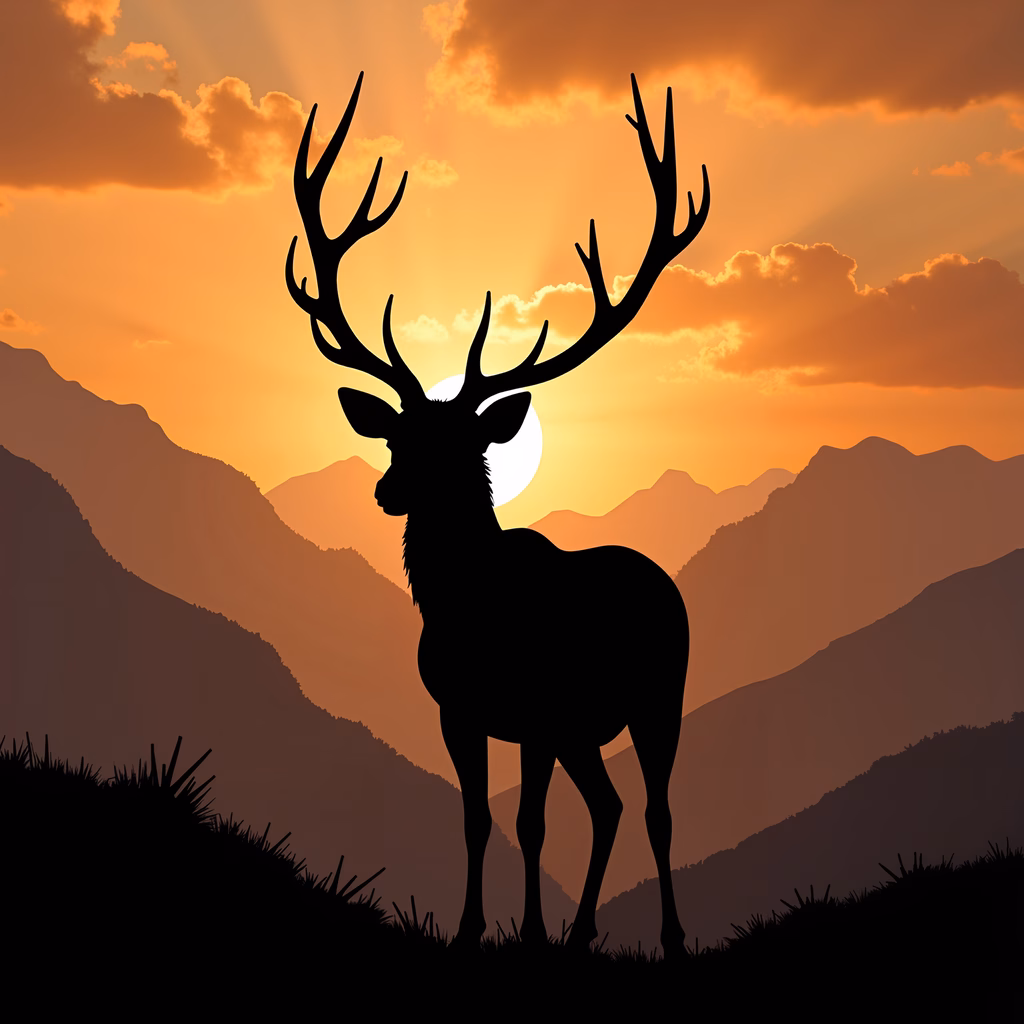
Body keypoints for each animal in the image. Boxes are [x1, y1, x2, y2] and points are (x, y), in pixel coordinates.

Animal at [286, 71, 709, 957]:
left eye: (460, 446)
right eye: (396, 438)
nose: (386, 494)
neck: (469, 614)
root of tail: (666, 581)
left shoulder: (539, 712)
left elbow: (531, 822)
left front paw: (532, 935)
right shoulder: (459, 710)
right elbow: (478, 820)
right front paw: (472, 929)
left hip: (659, 694)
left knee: (655, 809)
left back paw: (668, 936)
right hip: (588, 726)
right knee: (611, 805)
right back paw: (583, 933)